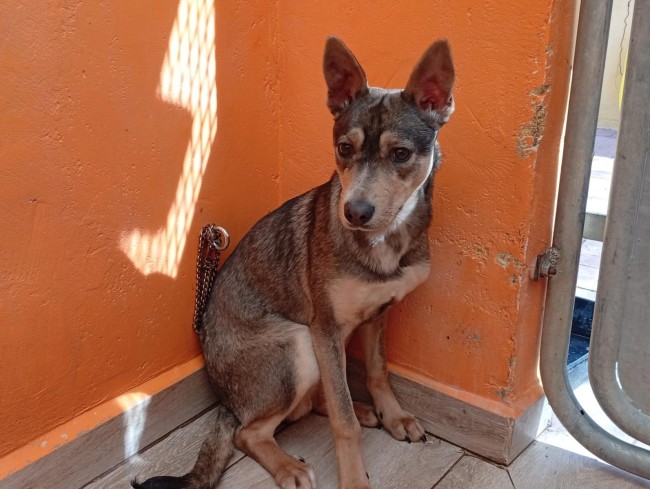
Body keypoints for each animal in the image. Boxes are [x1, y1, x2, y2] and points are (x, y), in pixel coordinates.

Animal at [133, 36, 454, 489]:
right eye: (344, 149)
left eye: (401, 154)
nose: (355, 212)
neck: (386, 239)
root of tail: (226, 398)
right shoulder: (324, 328)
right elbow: (343, 423)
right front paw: (354, 479)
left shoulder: (376, 315)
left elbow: (378, 372)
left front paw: (393, 416)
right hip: (297, 344)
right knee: (249, 432)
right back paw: (289, 466)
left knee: (316, 401)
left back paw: (365, 410)